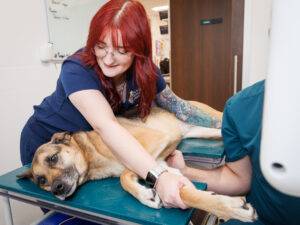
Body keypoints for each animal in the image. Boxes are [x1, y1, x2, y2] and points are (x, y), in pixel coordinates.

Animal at [18, 103, 258, 222]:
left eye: (53, 158)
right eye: (41, 180)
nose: (57, 189)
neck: (92, 151)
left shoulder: (155, 143)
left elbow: (125, 175)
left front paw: (231, 208)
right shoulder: (158, 163)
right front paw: (146, 194)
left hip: (214, 117)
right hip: (206, 131)